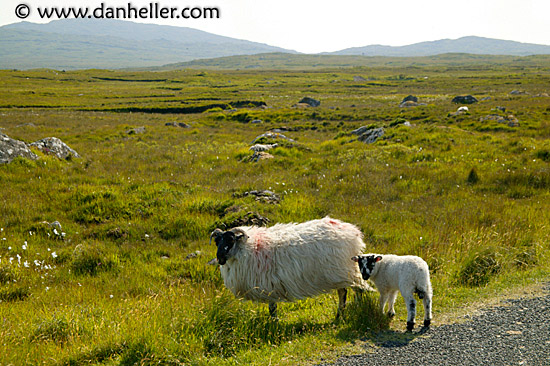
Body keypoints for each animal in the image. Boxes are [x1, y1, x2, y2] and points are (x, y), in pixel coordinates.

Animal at [209, 217, 374, 318]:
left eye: (230, 240)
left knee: (347, 291)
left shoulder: (269, 286)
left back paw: (341, 315)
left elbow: (272, 309)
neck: (248, 247)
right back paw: (350, 310)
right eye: (217, 242)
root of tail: (351, 231)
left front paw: (273, 324)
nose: (220, 257)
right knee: (351, 290)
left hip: (340, 271)